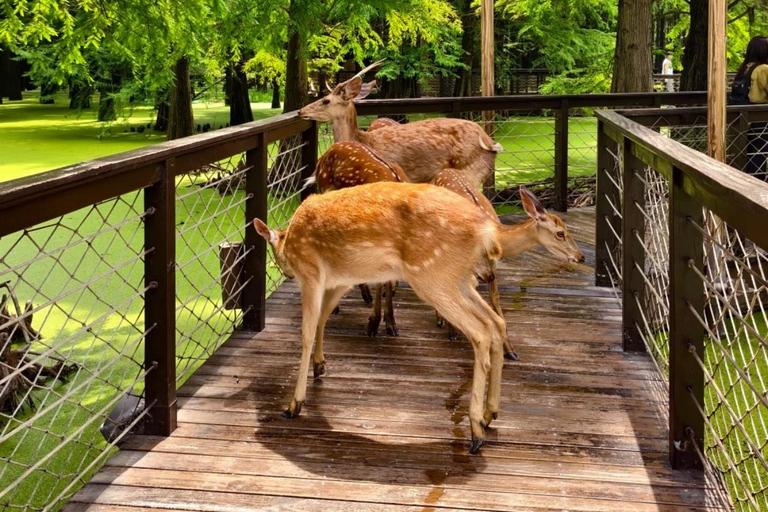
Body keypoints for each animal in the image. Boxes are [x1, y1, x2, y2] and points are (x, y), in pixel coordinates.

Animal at [253, 182, 507, 454]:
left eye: (272, 251)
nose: (286, 273)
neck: (290, 241)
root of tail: (486, 230)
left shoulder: (311, 272)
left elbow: (306, 332)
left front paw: (294, 404)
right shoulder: (341, 279)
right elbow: (322, 319)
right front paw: (320, 365)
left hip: (432, 275)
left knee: (480, 330)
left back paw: (476, 430)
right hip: (458, 280)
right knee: (496, 323)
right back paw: (490, 414)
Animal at [430, 170, 585, 360]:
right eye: (560, 233)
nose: (581, 257)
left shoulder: (491, 264)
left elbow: (495, 298)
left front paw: (510, 350)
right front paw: (454, 331)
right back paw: (442, 321)